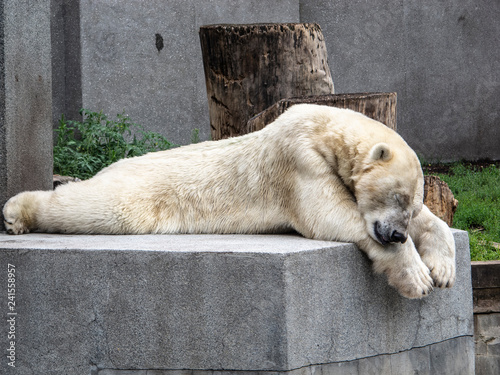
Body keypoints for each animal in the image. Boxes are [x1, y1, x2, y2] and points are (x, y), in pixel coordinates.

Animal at [1, 104, 456, 298]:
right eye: (396, 195)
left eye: (410, 203)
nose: (396, 235)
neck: (324, 128)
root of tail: (113, 167)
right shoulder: (298, 159)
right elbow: (328, 214)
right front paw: (417, 277)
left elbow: (433, 223)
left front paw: (443, 269)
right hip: (140, 191)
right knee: (99, 207)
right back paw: (16, 212)